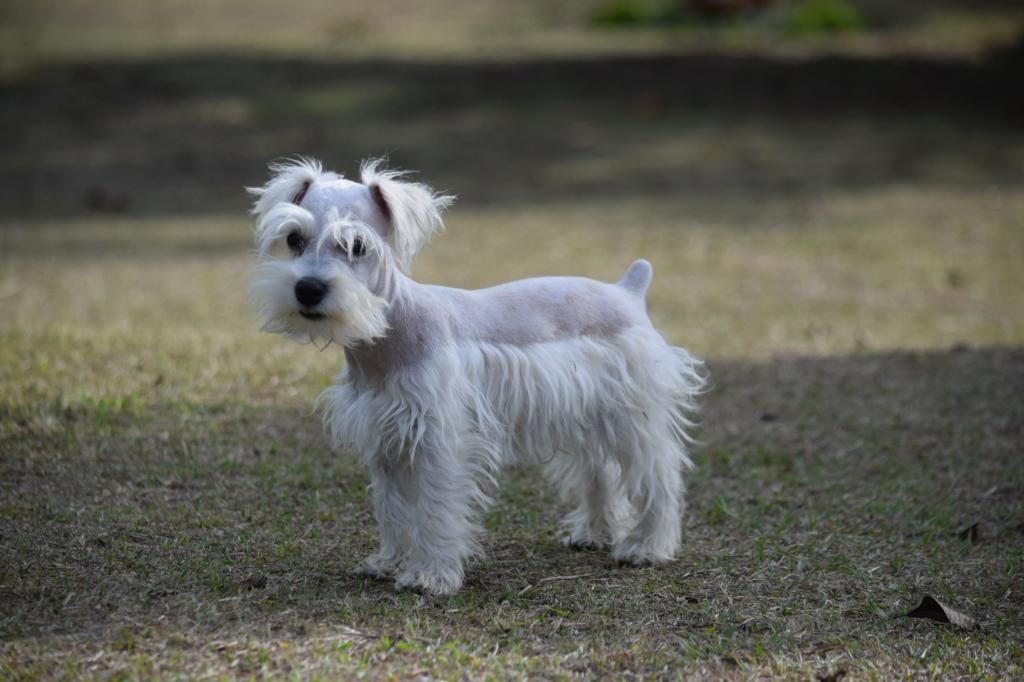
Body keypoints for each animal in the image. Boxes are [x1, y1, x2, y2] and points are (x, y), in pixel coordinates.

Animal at [249, 156, 704, 593]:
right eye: (294, 239)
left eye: (356, 245)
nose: (308, 289)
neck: (385, 335)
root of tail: (628, 289)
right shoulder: (388, 440)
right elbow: (393, 508)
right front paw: (390, 562)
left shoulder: (440, 441)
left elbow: (435, 509)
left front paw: (430, 575)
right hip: (590, 417)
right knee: (600, 472)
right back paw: (595, 532)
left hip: (634, 421)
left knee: (660, 477)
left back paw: (648, 547)